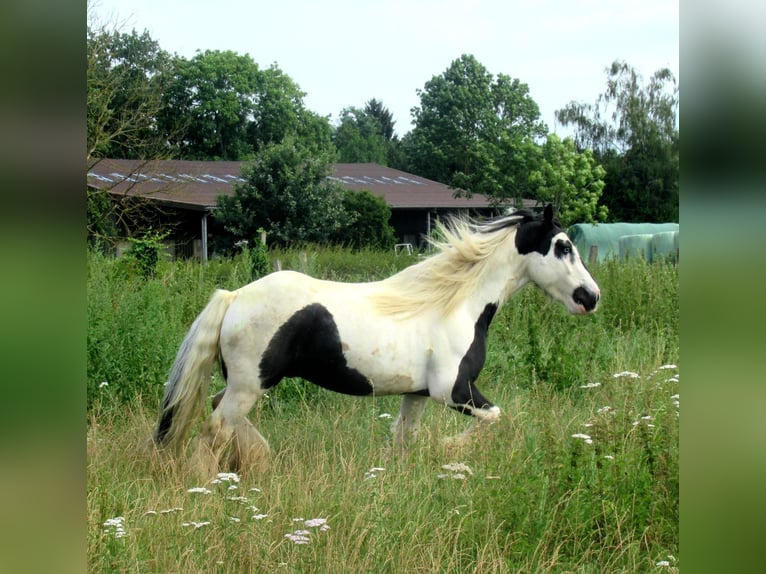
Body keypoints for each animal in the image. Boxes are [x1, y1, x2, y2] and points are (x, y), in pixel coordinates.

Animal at [153, 205, 604, 480]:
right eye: (563, 246)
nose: (591, 297)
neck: (455, 305)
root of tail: (233, 297)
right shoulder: (454, 391)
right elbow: (495, 418)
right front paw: (451, 447)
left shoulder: (418, 394)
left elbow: (404, 439)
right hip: (250, 385)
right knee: (215, 427)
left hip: (245, 384)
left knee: (220, 414)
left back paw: (257, 460)